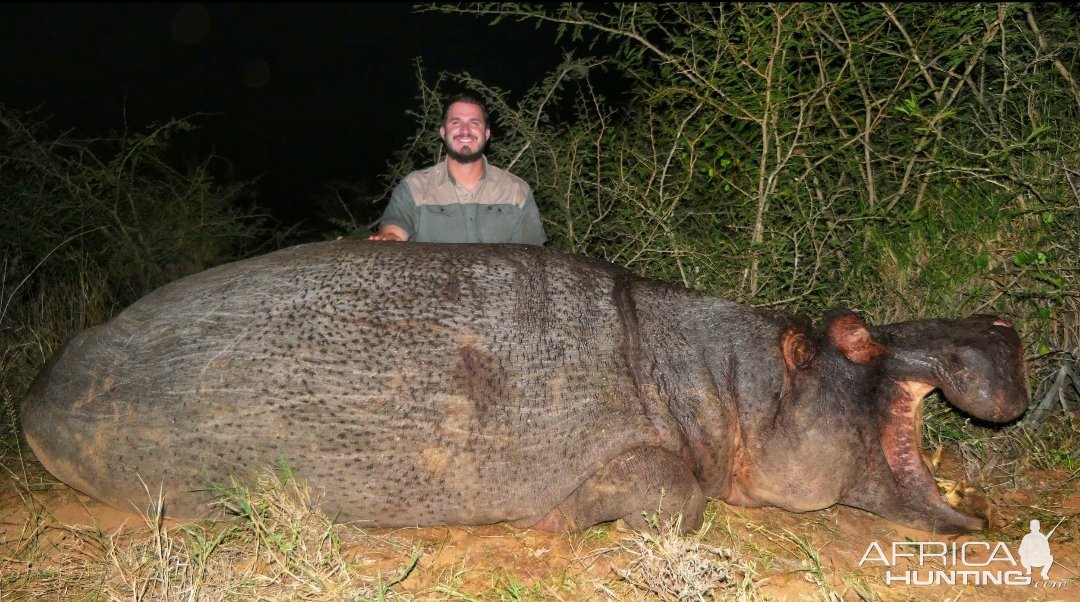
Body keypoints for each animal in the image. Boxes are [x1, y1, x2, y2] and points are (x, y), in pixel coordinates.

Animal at [21, 239, 1023, 529]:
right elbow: (676, 495)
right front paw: (555, 522)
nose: (997, 324)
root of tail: (38, 391)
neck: (734, 389)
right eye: (854, 333)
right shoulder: (637, 452)